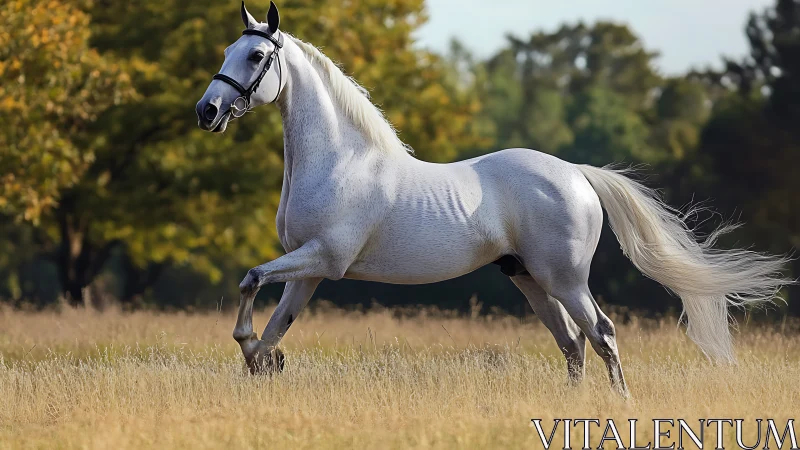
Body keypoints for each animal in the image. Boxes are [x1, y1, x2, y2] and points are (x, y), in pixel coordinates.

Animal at [195, 1, 792, 395]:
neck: (339, 160)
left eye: (256, 55)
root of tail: (578, 176)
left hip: (564, 278)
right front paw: (262, 363)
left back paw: (619, 404)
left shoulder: (324, 259)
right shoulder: (309, 271)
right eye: (226, 49)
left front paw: (251, 349)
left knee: (599, 332)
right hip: (528, 278)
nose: (208, 111)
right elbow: (274, 326)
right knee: (572, 342)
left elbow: (250, 281)